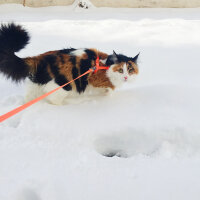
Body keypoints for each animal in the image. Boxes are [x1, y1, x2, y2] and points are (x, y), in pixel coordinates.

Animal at [0, 23, 139, 104]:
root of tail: (40, 58)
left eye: (130, 70)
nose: (126, 77)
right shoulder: (94, 80)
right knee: (53, 100)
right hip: (62, 87)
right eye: (121, 70)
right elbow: (107, 90)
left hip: (36, 85)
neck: (106, 65)